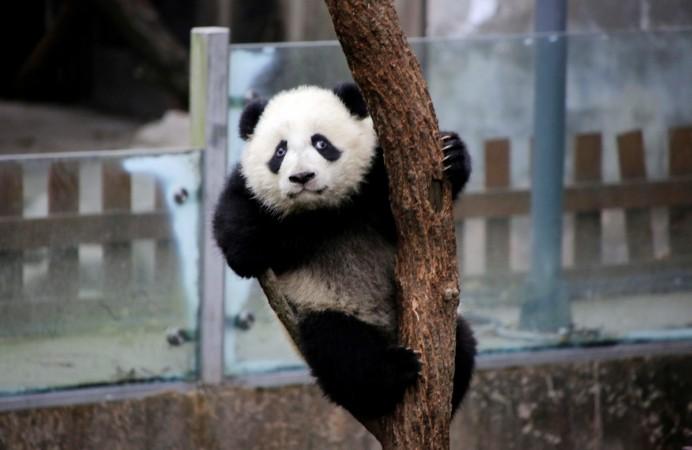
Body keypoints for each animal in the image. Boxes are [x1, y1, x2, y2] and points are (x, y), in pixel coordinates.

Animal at [213, 83, 476, 419]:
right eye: (280, 151)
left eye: (321, 143)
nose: (302, 177)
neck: (322, 209)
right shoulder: (248, 193)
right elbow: (236, 233)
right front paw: (256, 246)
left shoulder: (376, 178)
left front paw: (452, 153)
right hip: (324, 307)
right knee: (342, 349)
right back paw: (391, 374)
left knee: (462, 342)